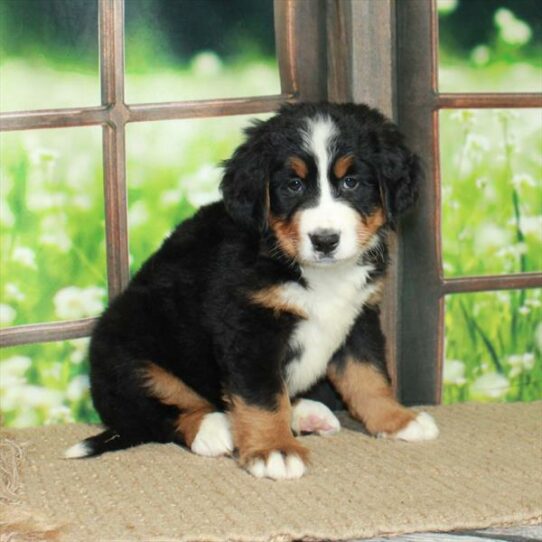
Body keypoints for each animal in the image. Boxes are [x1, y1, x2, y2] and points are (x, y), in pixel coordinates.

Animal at [66, 102, 440, 480]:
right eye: (293, 185)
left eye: (351, 182)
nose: (324, 240)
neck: (311, 271)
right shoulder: (249, 327)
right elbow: (262, 396)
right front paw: (274, 450)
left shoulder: (359, 317)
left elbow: (369, 376)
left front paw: (397, 419)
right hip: (129, 355)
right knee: (156, 414)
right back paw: (215, 428)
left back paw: (306, 413)